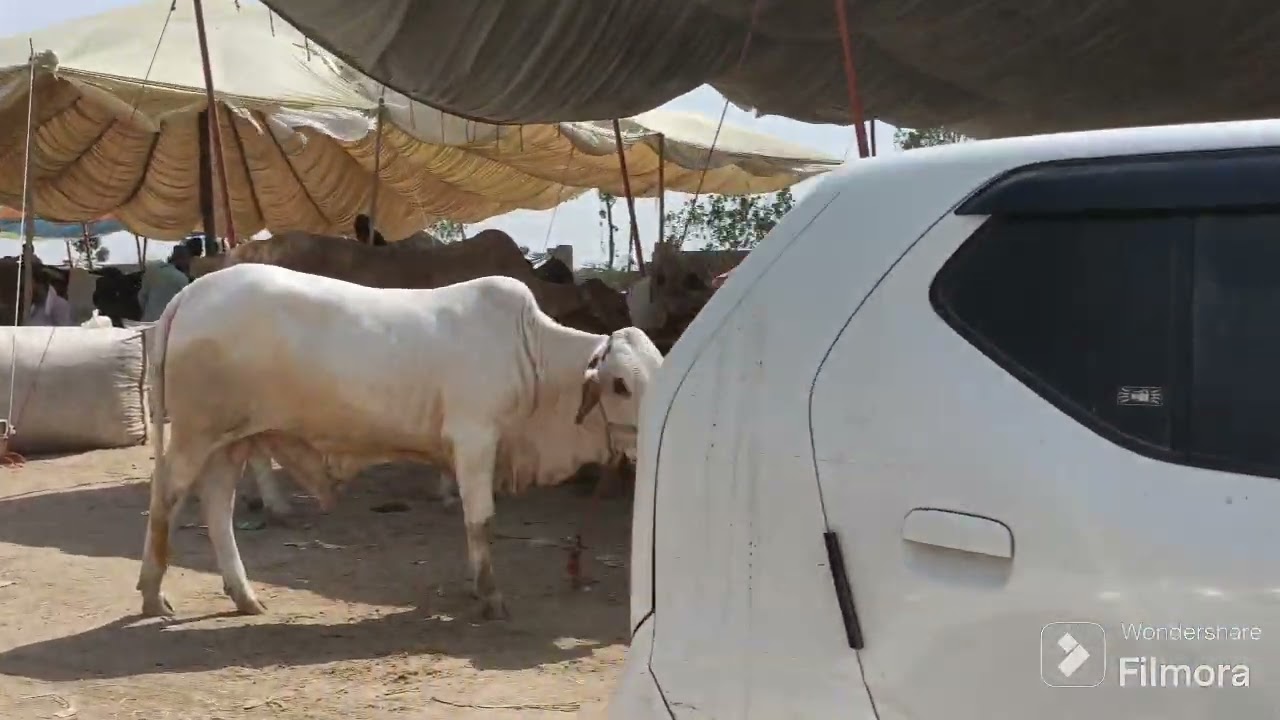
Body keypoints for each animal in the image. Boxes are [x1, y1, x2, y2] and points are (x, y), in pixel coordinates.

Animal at [136, 263, 662, 621]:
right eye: (620, 385)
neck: (535, 358)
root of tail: (192, 292)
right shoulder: (475, 439)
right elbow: (481, 522)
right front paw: (490, 596)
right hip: (196, 434)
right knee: (165, 496)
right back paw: (152, 594)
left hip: (233, 440)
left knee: (217, 506)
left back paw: (243, 594)